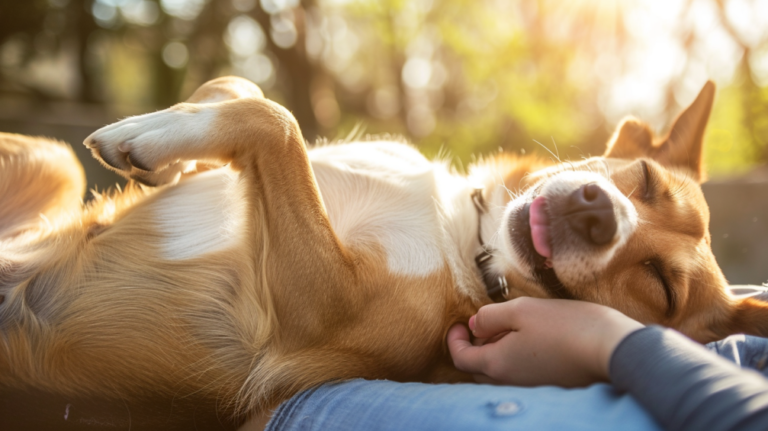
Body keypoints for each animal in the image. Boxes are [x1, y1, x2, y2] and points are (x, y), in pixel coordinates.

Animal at [0, 76, 764, 424]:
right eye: (645, 180)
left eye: (659, 285)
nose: (599, 211)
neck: (463, 237)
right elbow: (245, 91)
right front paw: (170, 143)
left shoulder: (312, 316)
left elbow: (275, 121)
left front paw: (157, 139)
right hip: (54, 164)